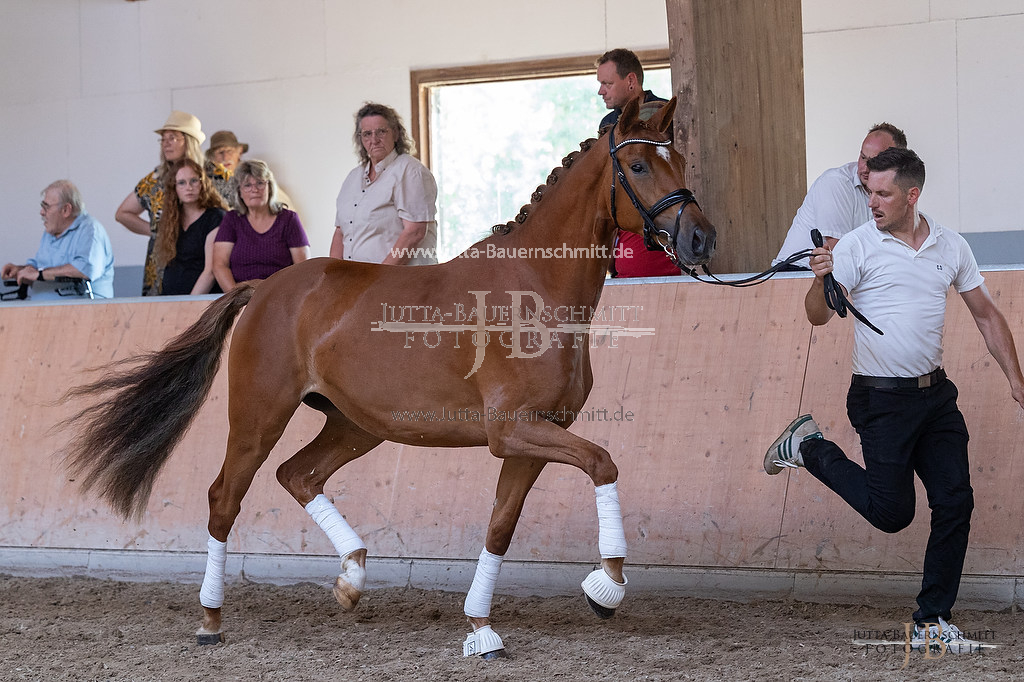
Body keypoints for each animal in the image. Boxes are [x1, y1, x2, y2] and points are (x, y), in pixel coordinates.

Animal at [61, 98, 712, 655]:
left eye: (678, 160)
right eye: (635, 164)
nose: (700, 238)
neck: (536, 290)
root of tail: (264, 288)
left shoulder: (533, 439)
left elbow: (501, 526)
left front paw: (481, 629)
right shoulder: (515, 430)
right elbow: (604, 462)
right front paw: (607, 586)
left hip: (356, 424)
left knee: (299, 474)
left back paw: (351, 578)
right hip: (258, 415)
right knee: (226, 497)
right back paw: (211, 620)